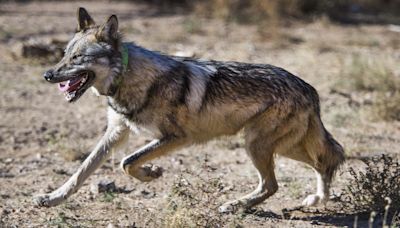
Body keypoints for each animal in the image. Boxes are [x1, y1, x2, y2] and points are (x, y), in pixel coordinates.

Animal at [34, 7, 346, 213]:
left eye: (78, 58)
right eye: (64, 54)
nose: (47, 75)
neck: (129, 78)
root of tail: (309, 88)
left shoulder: (177, 137)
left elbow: (127, 162)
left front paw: (151, 173)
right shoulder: (116, 132)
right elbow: (81, 171)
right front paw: (53, 198)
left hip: (259, 144)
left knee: (277, 183)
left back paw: (235, 205)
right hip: (275, 145)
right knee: (322, 162)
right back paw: (316, 199)